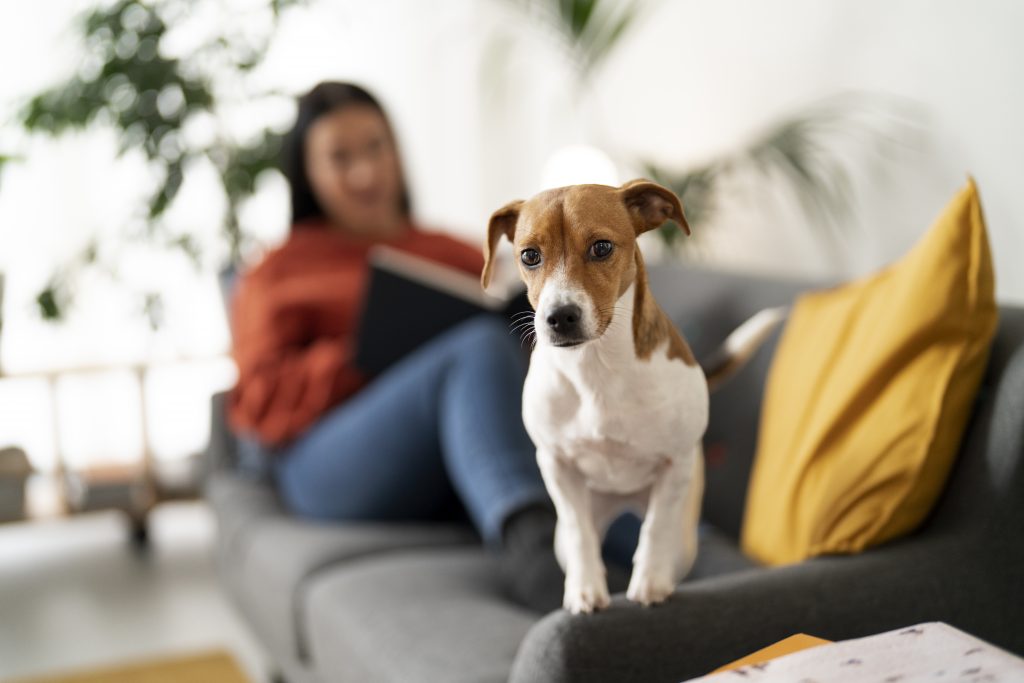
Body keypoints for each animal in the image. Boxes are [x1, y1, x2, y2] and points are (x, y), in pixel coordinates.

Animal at [481, 178, 782, 614]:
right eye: (530, 255)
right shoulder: (556, 466)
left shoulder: (674, 466)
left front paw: (650, 582)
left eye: (602, 247)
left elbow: (655, 529)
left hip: (685, 535)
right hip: (568, 531)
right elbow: (580, 533)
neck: (597, 368)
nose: (560, 317)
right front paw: (585, 588)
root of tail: (622, 501)